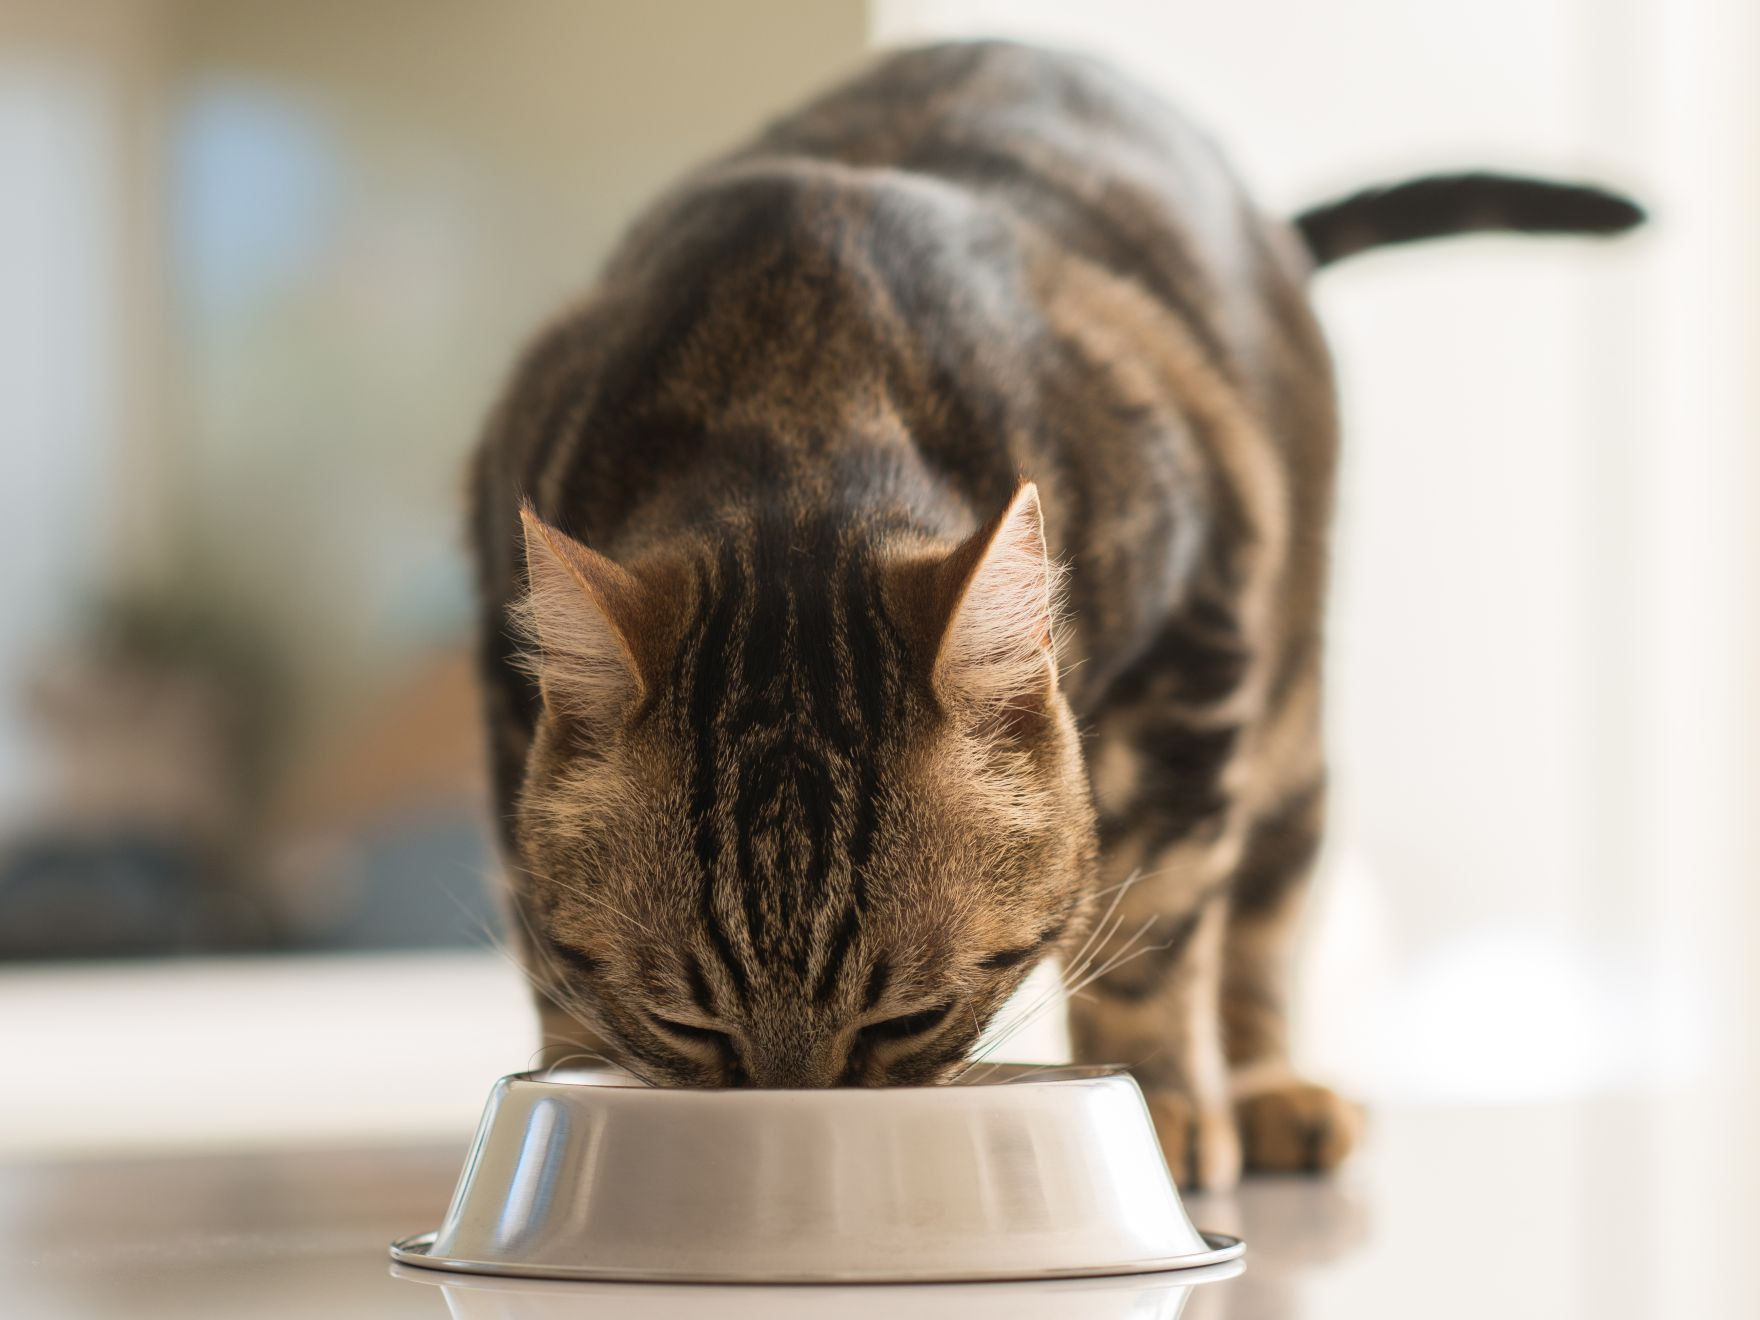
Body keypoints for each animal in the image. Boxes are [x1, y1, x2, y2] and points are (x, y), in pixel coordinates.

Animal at [464, 46, 1633, 1196]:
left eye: (908, 1020)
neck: (798, 387)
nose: (795, 1132)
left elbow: (1158, 925)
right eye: (687, 1026)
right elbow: (548, 949)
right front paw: (569, 1074)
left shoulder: (1196, 646)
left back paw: (1265, 1091)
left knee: (1261, 920)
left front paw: (1164, 1104)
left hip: (1289, 722)